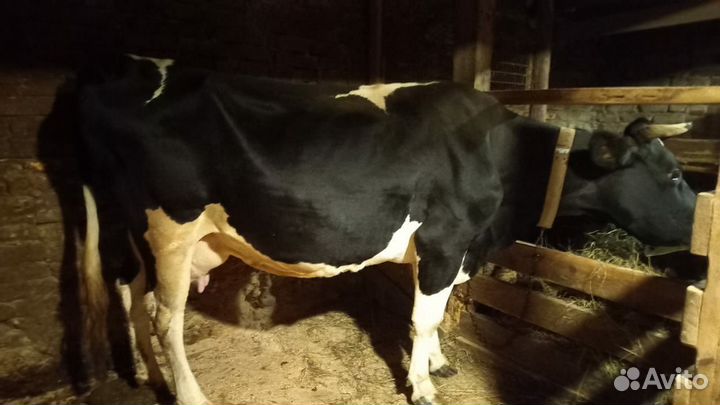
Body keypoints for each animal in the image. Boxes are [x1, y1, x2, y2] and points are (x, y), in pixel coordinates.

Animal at [76, 54, 696, 405]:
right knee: (165, 317)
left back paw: (147, 375)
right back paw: (190, 395)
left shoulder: (447, 251)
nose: (700, 234)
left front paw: (438, 363)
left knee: (130, 295)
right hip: (171, 230)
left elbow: (436, 316)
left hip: (147, 233)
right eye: (671, 176)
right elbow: (424, 319)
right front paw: (421, 386)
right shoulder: (446, 241)